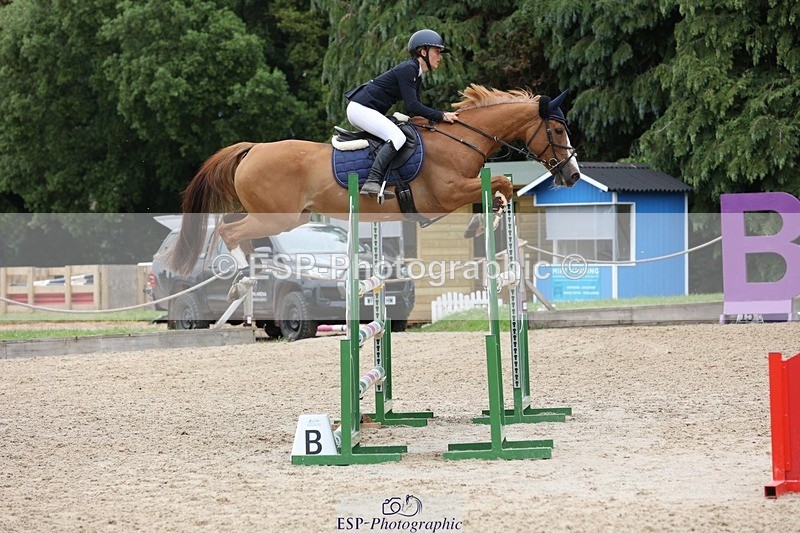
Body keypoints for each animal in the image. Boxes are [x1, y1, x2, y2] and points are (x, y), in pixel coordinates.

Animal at [168, 84, 580, 275]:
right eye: (558, 130)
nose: (573, 174)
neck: (460, 139)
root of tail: (252, 149)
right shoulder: (445, 195)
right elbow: (500, 185)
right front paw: (479, 224)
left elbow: (500, 188)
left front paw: (486, 221)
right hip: (278, 217)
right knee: (229, 230)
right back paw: (243, 273)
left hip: (292, 216)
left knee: (232, 226)